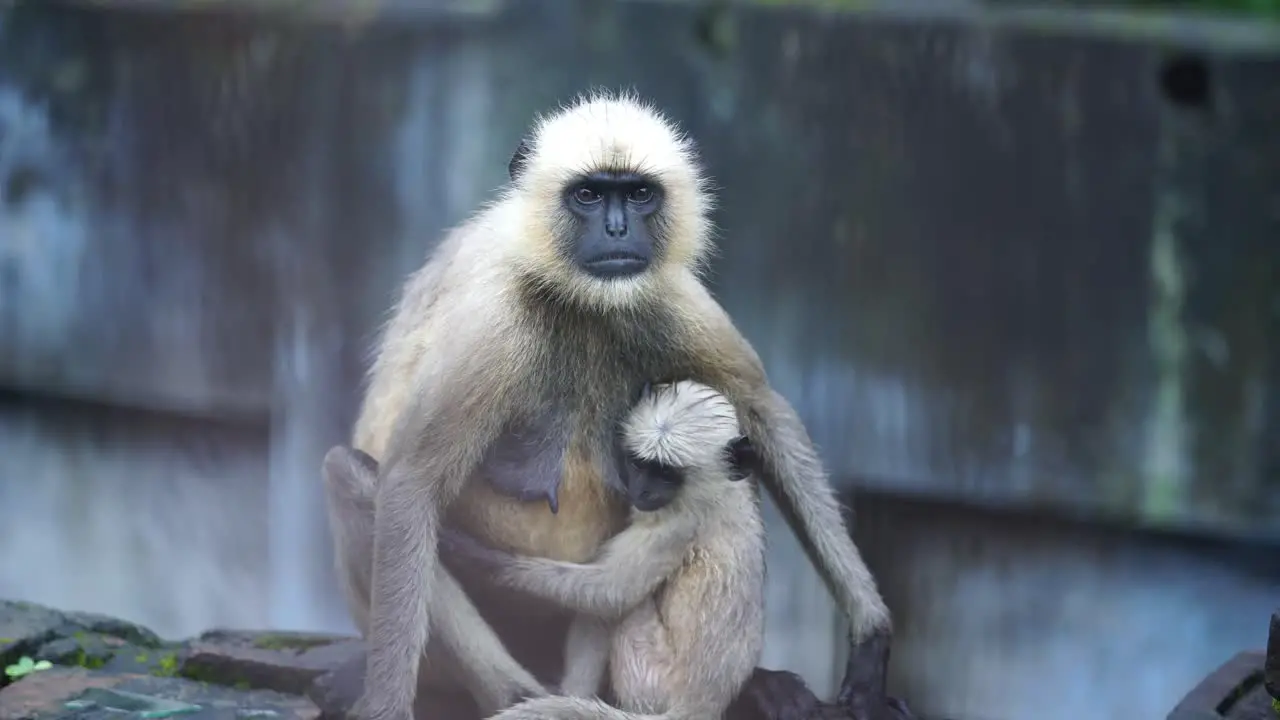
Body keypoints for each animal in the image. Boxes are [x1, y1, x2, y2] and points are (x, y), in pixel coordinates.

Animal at [442, 379, 757, 712]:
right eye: (639, 464)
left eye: (665, 474)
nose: (642, 490)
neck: (716, 490)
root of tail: (699, 704)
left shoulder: (678, 524)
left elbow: (611, 594)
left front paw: (471, 556)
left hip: (652, 677)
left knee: (621, 602)